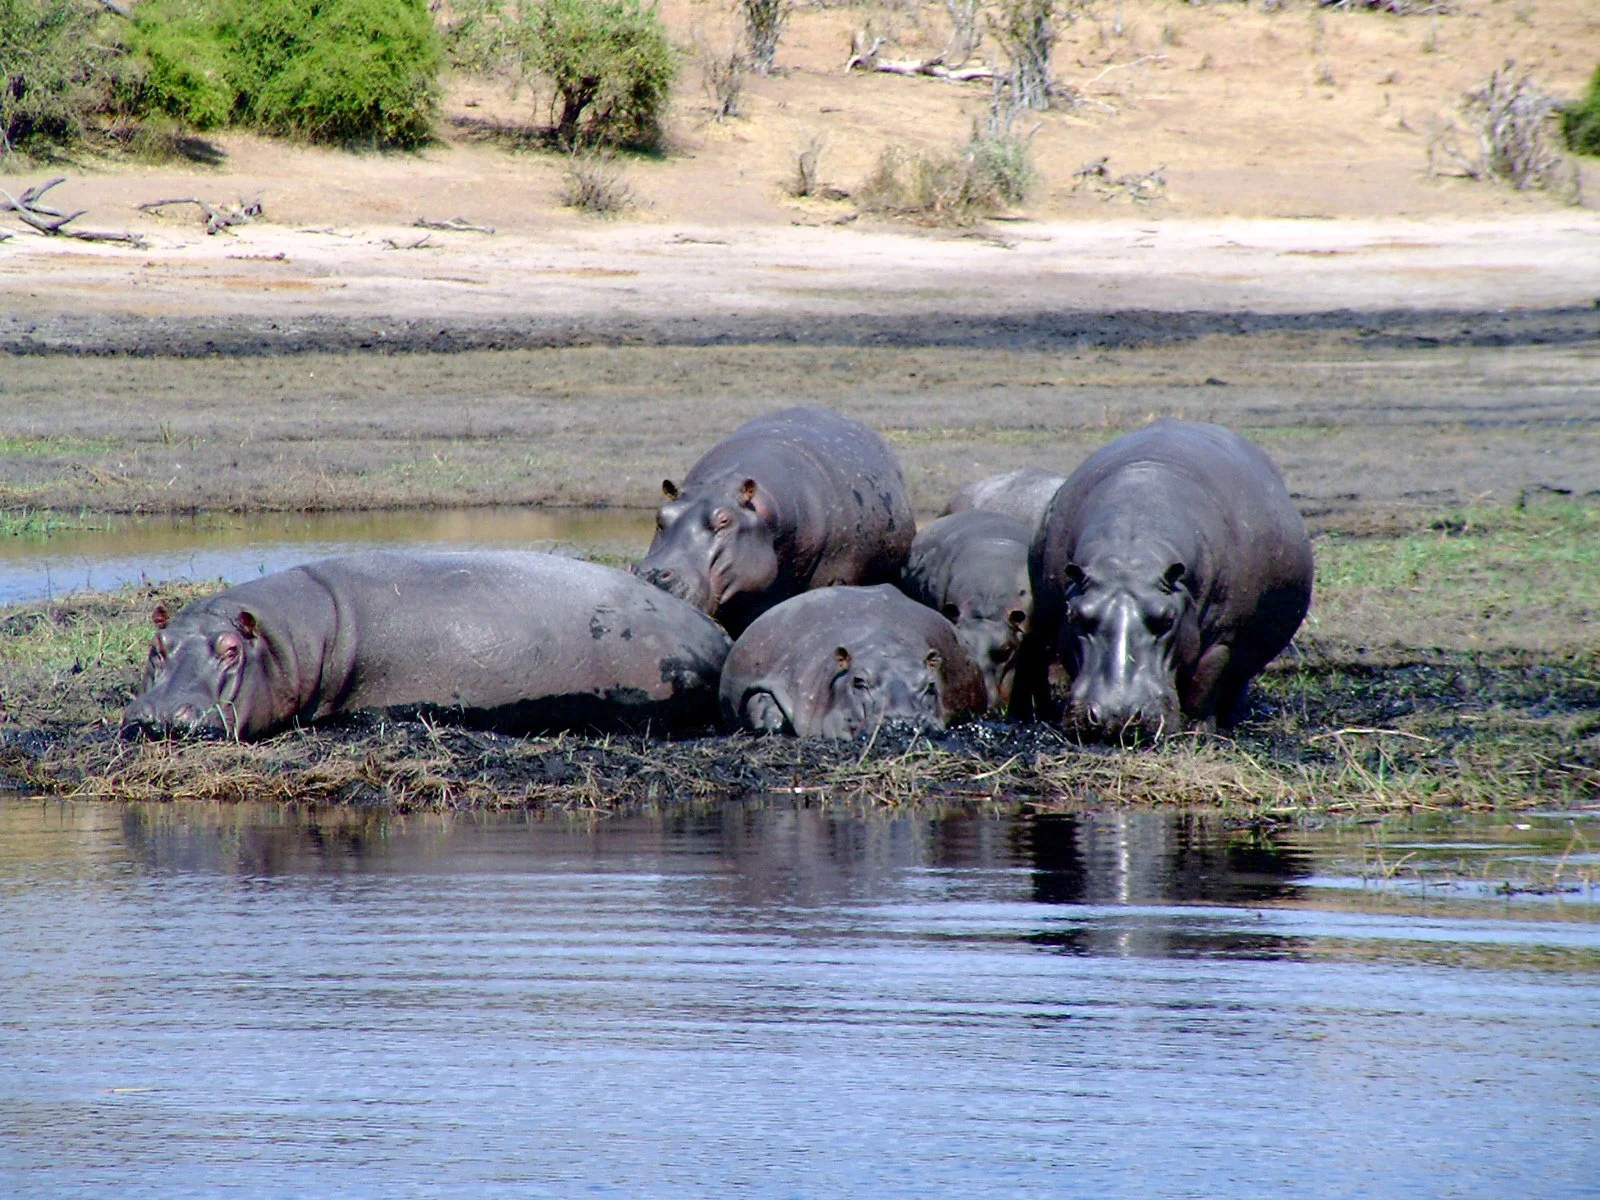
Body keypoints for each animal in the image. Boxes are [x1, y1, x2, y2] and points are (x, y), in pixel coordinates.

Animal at [1027, 418, 1313, 739]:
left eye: (1166, 619)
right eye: (1076, 616)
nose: (1116, 716)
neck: (1129, 556)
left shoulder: (1223, 639)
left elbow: (1204, 683)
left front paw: (1198, 732)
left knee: (1235, 681)